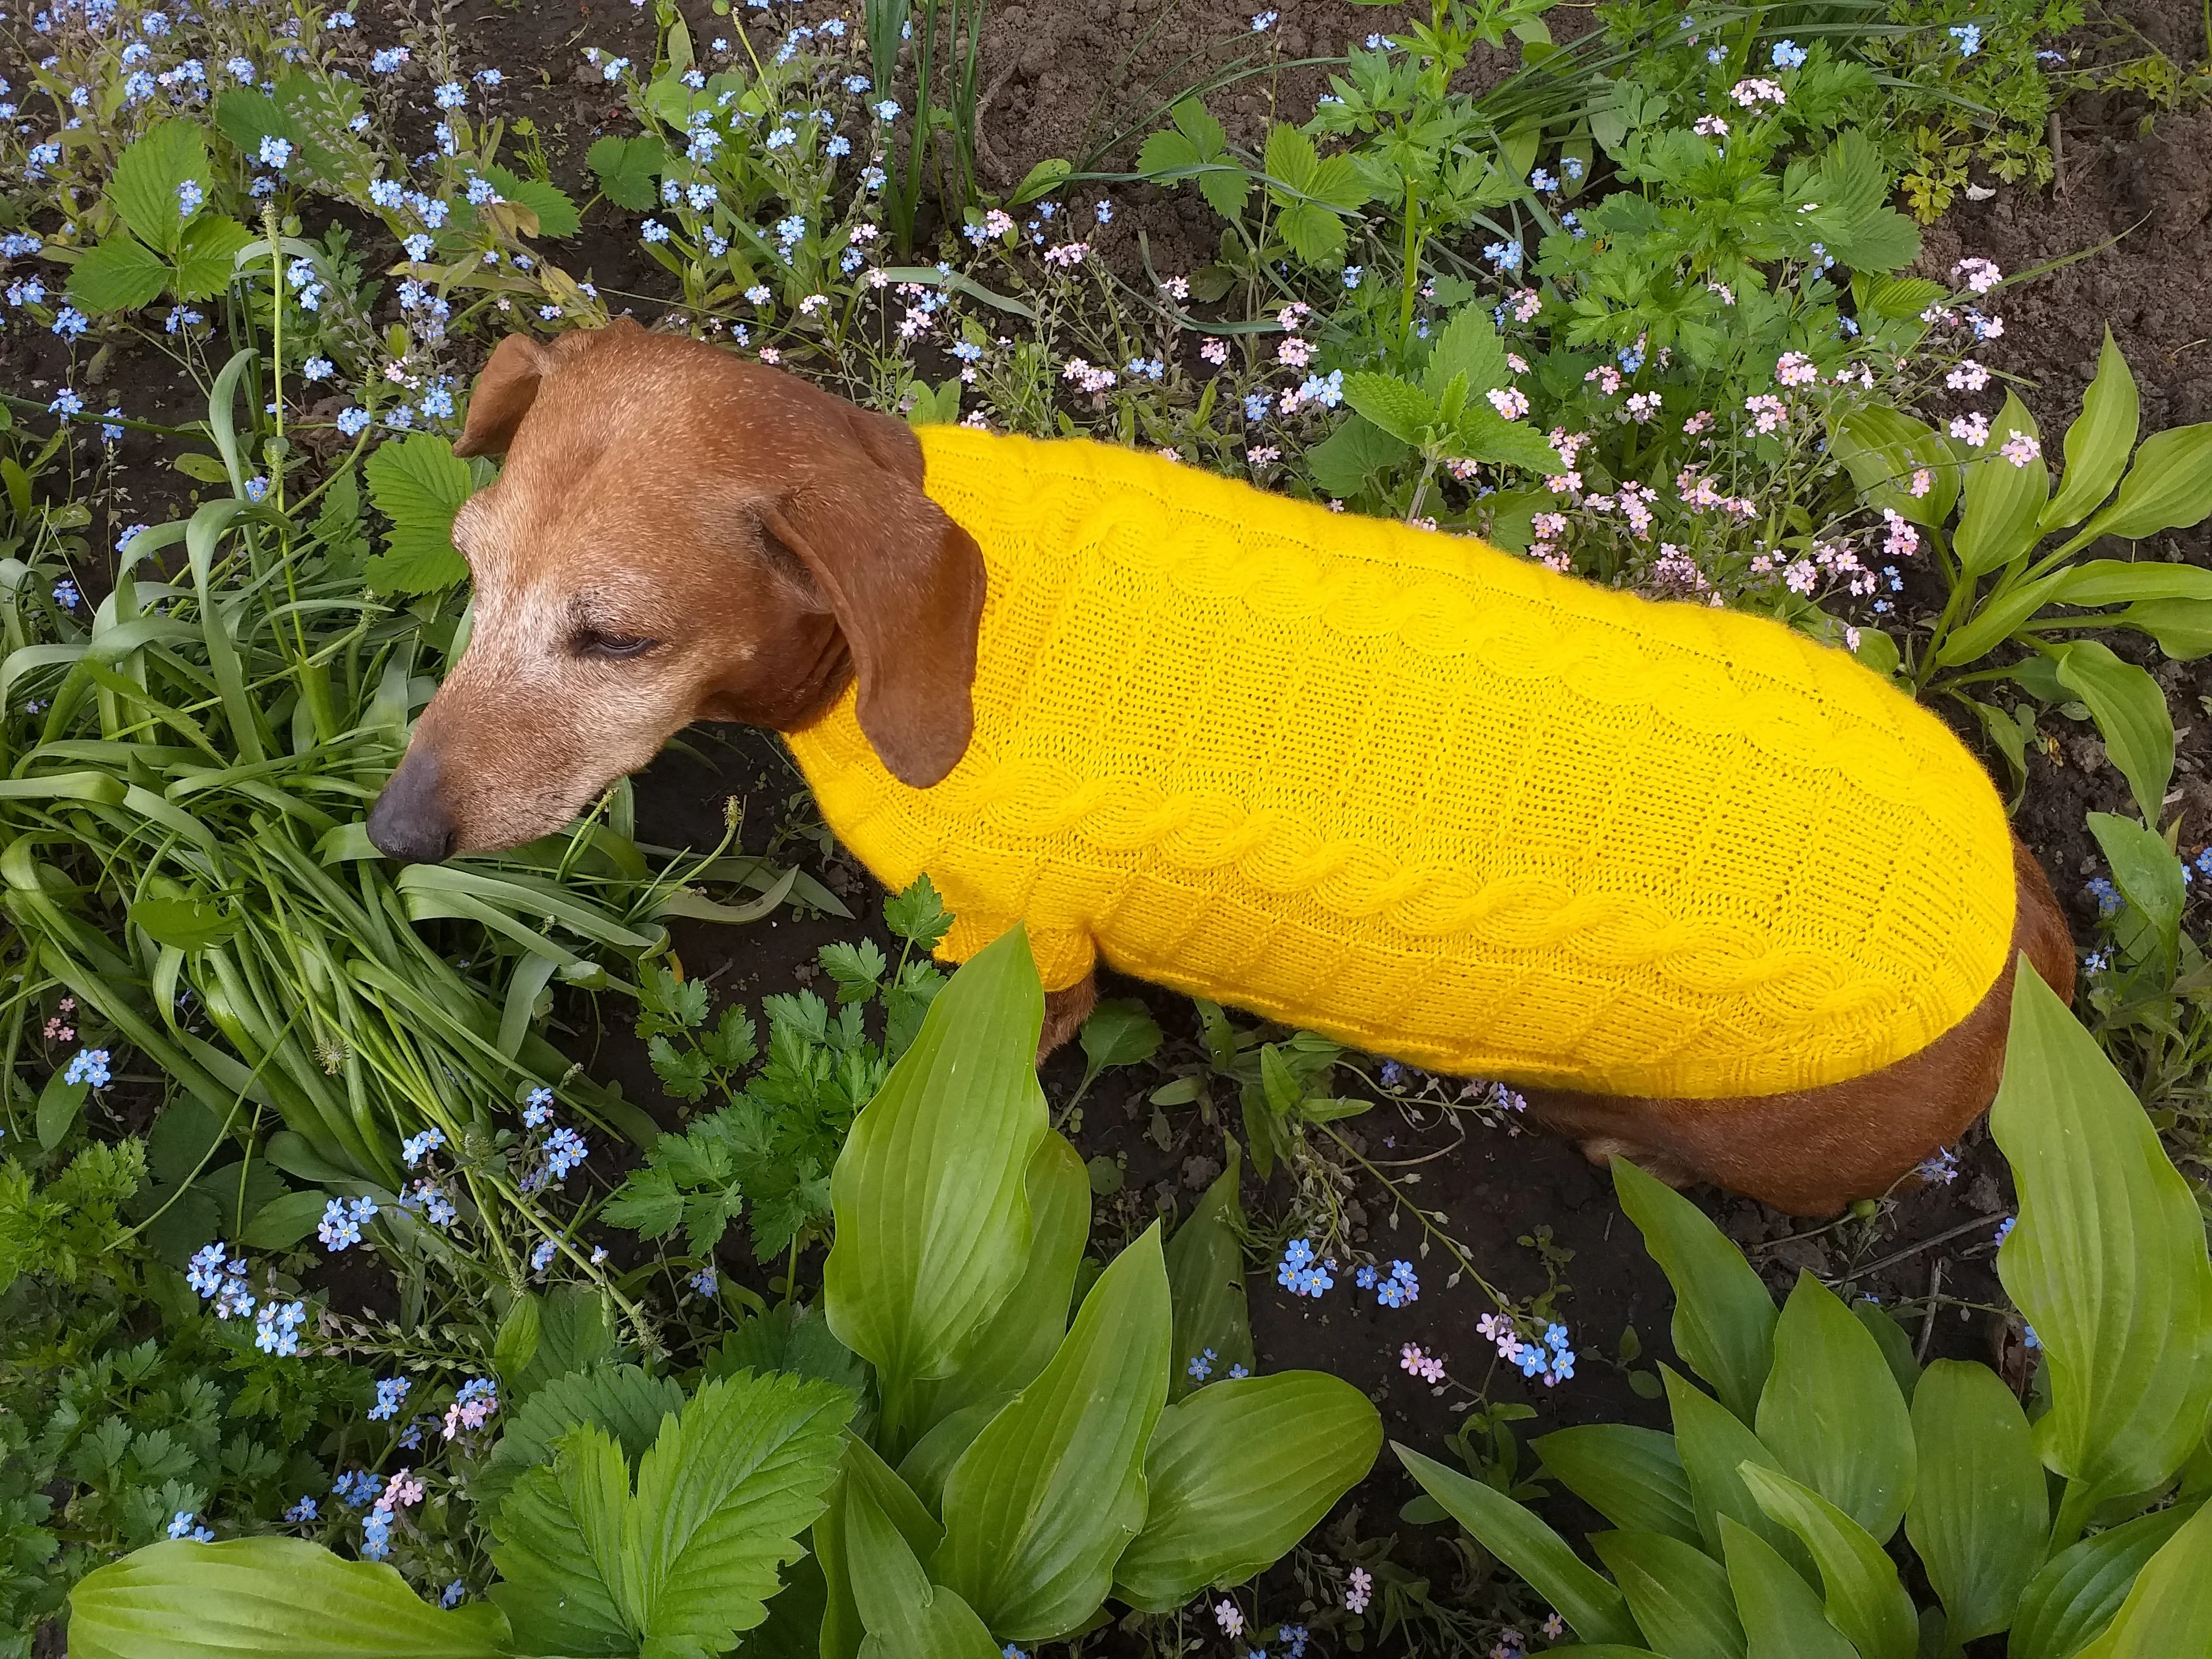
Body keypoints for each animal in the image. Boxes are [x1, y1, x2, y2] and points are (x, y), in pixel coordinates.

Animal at [371, 318, 2079, 1212]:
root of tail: (2020, 947)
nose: (389, 832)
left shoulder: (1026, 955)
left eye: (616, 638)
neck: (883, 659)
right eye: (472, 567)